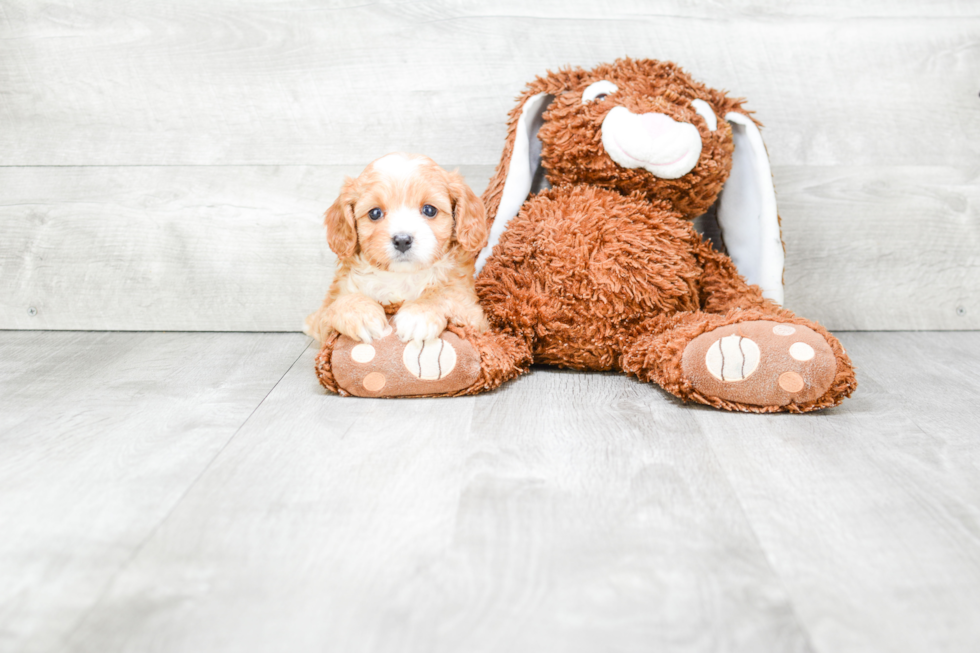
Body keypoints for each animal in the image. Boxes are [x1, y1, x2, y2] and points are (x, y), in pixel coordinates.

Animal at [304, 153, 490, 346]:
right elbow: (337, 304)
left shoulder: (472, 312)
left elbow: (443, 294)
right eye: (375, 213)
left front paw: (418, 315)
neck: (401, 276)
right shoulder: (320, 316)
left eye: (429, 210)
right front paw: (361, 314)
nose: (402, 240)